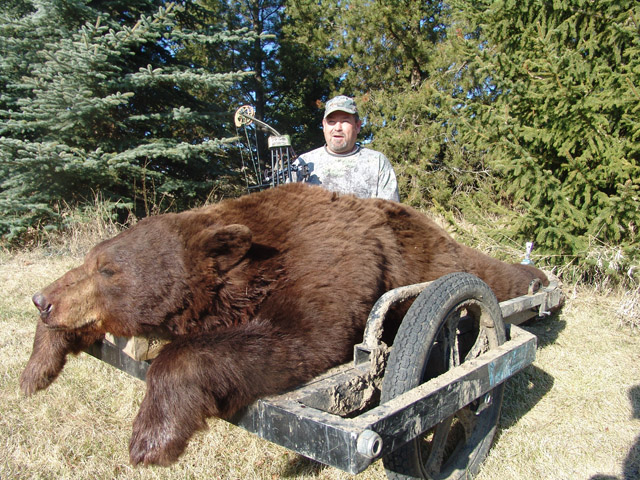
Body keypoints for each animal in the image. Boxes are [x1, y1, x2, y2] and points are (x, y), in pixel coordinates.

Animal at [20, 182, 548, 466]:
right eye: (89, 260)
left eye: (108, 270)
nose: (41, 299)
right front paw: (34, 369)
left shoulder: (329, 264)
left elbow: (297, 341)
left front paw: (151, 438)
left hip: (437, 269)